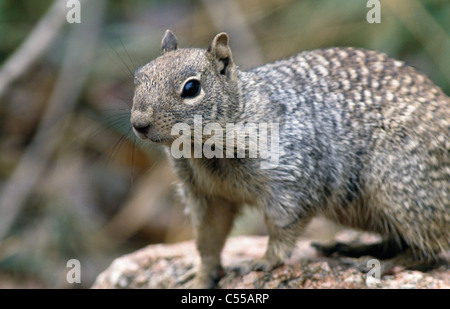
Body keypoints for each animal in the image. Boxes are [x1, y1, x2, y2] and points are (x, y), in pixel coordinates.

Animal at [130, 30, 450, 288]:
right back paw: (350, 248)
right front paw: (199, 276)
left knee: (429, 251)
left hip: (401, 192)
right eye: (138, 76)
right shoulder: (206, 197)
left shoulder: (290, 181)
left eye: (191, 88)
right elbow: (208, 241)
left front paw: (264, 261)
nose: (138, 124)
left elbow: (283, 228)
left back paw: (378, 264)